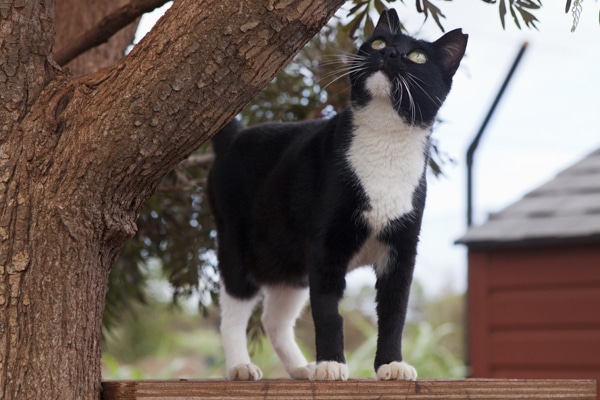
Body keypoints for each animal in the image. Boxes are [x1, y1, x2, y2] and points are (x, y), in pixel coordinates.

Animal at [207, 7, 468, 380]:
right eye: (379, 42)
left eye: (417, 56)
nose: (390, 53)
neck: (385, 142)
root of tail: (234, 137)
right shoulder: (325, 246)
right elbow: (328, 312)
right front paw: (331, 364)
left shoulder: (402, 250)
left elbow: (394, 312)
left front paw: (391, 365)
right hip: (236, 242)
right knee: (233, 308)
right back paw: (241, 366)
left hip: (289, 264)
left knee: (274, 319)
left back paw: (301, 368)